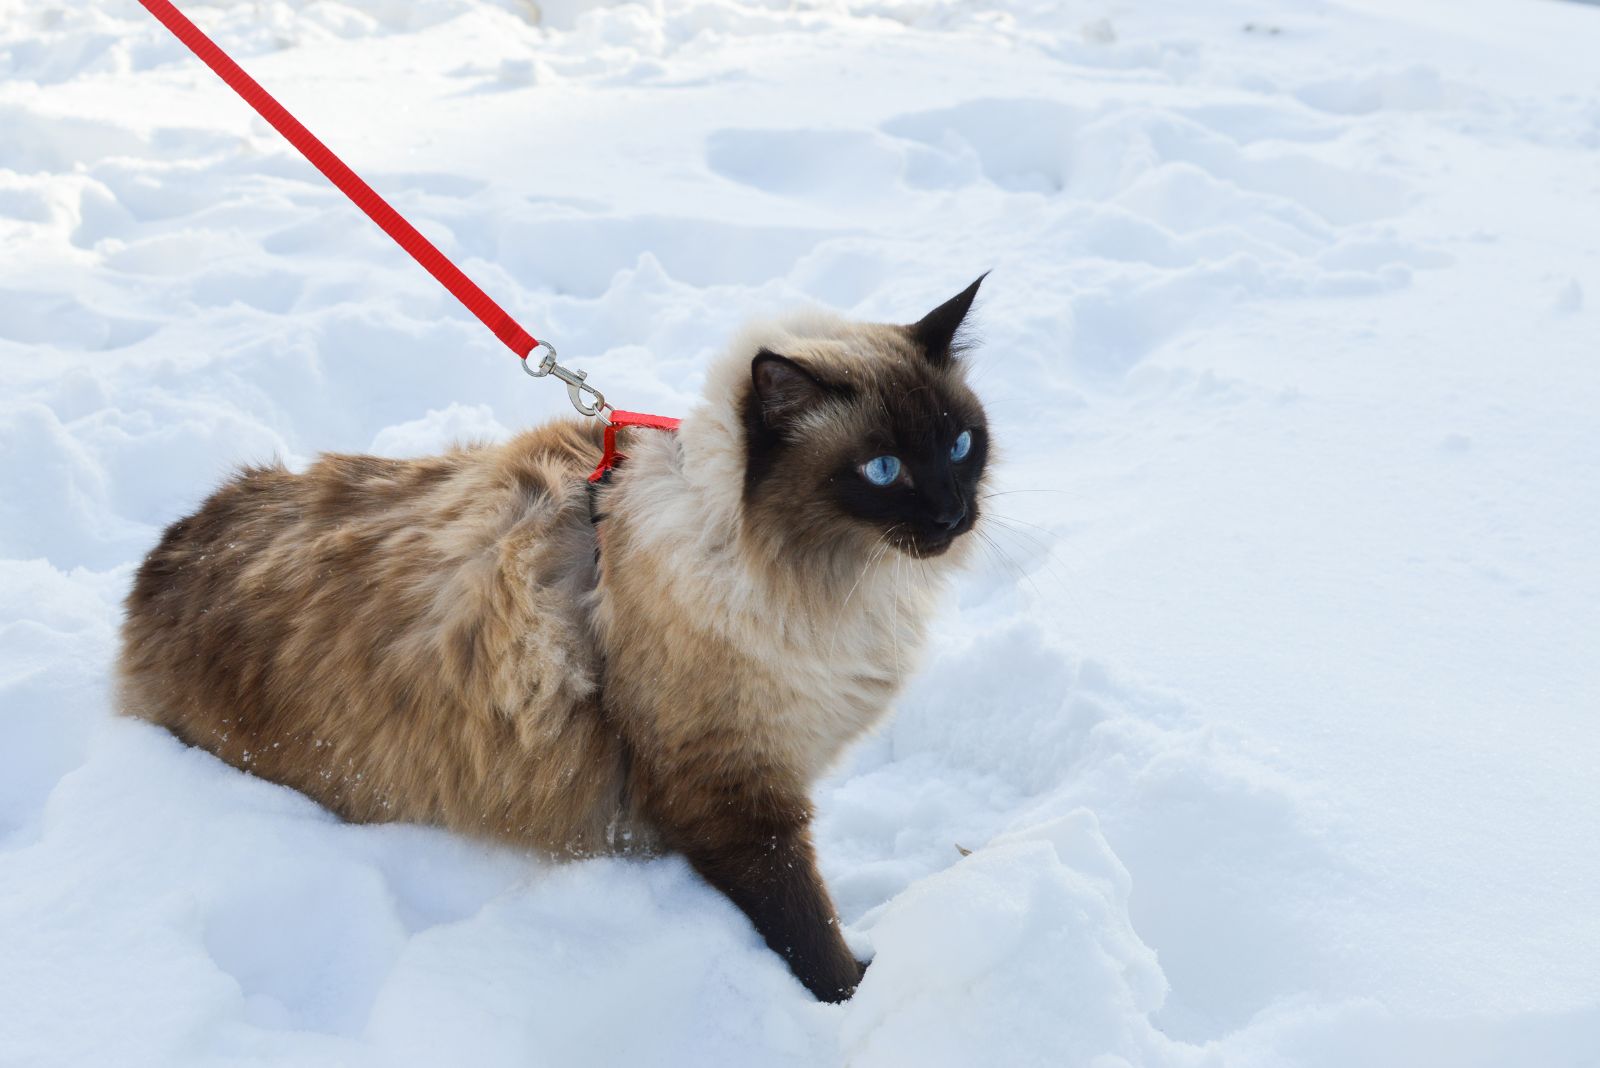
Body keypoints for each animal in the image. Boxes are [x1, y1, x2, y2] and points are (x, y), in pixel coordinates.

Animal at [116, 274, 985, 1004]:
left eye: (960, 445)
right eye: (882, 469)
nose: (955, 516)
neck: (827, 579)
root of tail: (173, 548)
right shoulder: (732, 794)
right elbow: (811, 932)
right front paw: (857, 998)